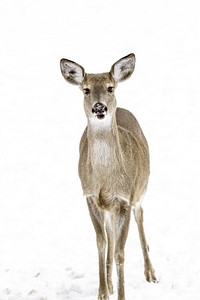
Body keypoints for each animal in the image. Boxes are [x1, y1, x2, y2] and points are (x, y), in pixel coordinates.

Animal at [60, 54, 157, 300]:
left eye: (110, 88)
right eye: (86, 90)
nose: (99, 107)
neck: (106, 178)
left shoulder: (124, 199)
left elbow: (120, 252)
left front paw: (121, 295)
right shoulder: (91, 197)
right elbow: (102, 243)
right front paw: (103, 292)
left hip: (139, 190)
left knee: (140, 217)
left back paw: (151, 273)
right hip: (109, 208)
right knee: (111, 236)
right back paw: (111, 283)